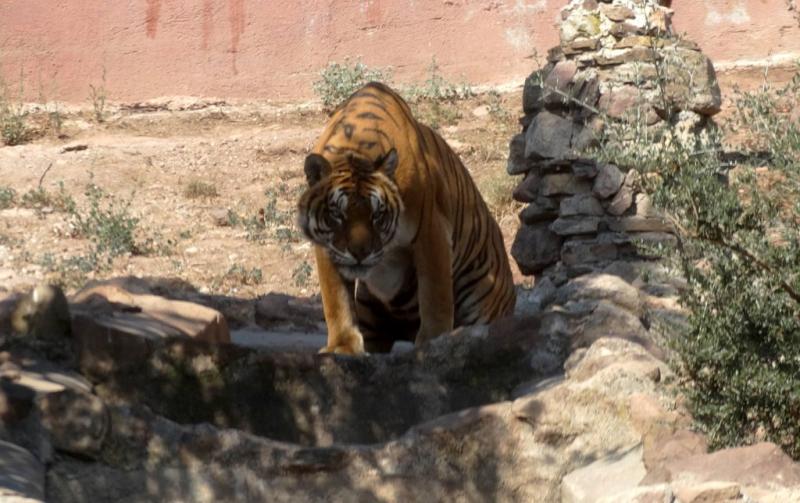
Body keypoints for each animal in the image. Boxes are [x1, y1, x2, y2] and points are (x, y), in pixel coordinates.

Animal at [297, 81, 515, 355]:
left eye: (377, 215)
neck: (355, 147)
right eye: (337, 214)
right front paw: (341, 345)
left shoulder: (431, 232)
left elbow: (435, 295)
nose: (360, 253)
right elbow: (336, 299)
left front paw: (433, 341)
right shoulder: (326, 247)